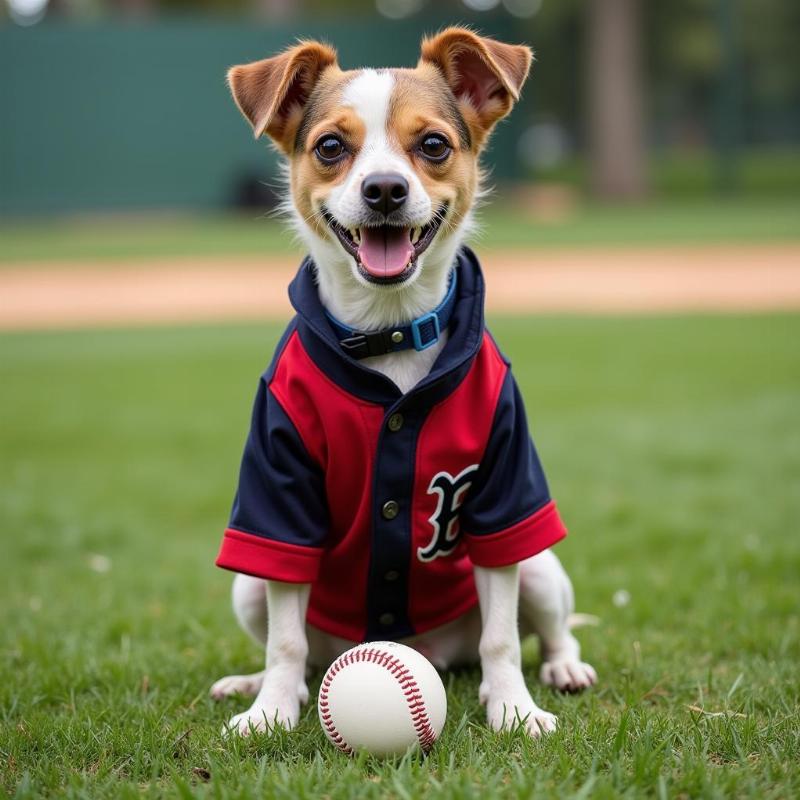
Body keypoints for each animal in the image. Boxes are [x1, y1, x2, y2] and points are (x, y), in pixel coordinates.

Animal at [209, 26, 596, 736]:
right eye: (331, 147)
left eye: (434, 145)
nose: (385, 189)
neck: (388, 333)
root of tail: (430, 653)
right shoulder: (276, 499)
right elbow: (286, 641)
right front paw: (269, 708)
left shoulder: (505, 490)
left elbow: (503, 638)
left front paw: (514, 707)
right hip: (247, 585)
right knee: (300, 651)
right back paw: (258, 684)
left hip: (540, 568)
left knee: (549, 632)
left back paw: (561, 670)